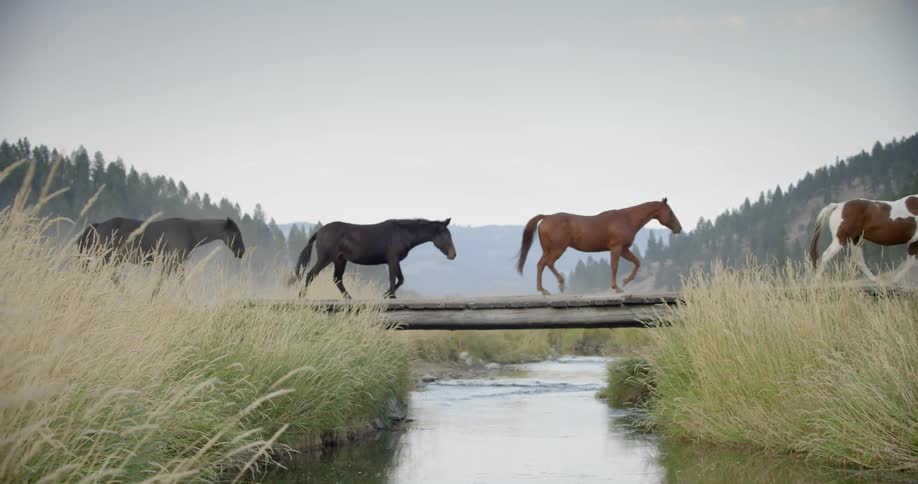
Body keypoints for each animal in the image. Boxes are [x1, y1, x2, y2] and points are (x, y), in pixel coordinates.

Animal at [77, 217, 246, 275]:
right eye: (236, 233)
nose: (242, 252)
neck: (190, 231)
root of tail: (98, 225)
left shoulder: (172, 263)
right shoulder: (173, 262)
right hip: (109, 257)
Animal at [289, 218, 457, 299]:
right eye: (446, 235)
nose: (453, 254)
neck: (402, 233)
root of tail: (319, 232)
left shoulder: (394, 260)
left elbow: (400, 279)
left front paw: (386, 294)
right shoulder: (392, 259)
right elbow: (393, 278)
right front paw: (391, 296)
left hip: (340, 260)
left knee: (337, 279)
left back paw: (350, 298)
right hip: (326, 258)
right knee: (310, 274)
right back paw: (301, 296)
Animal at [516, 198, 683, 295]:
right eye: (670, 211)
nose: (679, 228)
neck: (627, 219)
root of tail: (546, 217)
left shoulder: (624, 249)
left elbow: (637, 262)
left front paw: (625, 281)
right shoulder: (617, 247)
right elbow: (615, 266)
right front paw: (617, 287)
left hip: (548, 249)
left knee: (541, 264)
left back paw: (543, 289)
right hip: (558, 248)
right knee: (548, 263)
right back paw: (558, 285)